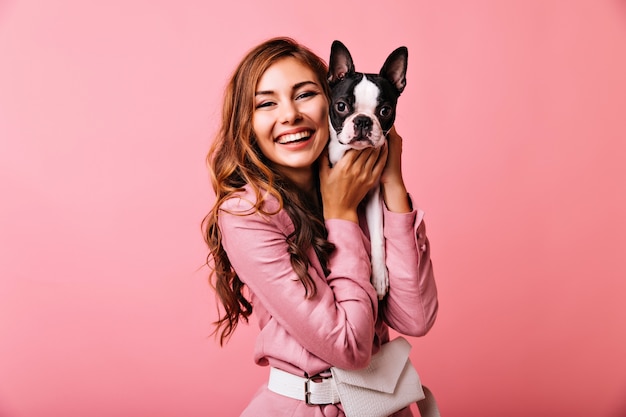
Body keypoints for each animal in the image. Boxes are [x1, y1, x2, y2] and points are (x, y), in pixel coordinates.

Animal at [324, 39, 408, 300]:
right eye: (341, 106)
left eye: (385, 111)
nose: (362, 120)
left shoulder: (373, 195)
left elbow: (378, 237)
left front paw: (379, 278)